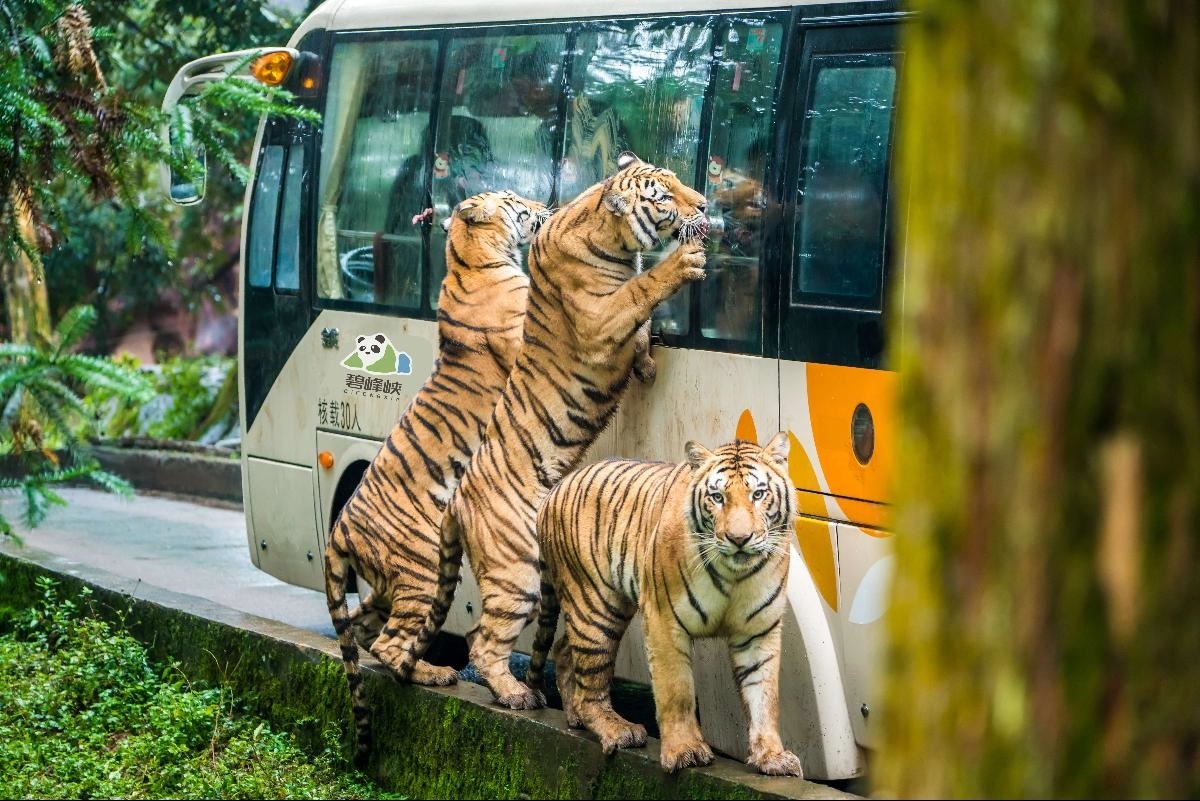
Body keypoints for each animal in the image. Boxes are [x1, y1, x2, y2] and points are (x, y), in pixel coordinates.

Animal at [323, 190, 551, 765]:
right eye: (515, 201)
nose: (544, 205)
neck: (469, 259)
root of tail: (338, 530)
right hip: (423, 568)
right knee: (389, 644)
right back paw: (436, 674)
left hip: (391, 582)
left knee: (366, 632)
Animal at [387, 152, 710, 709]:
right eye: (664, 195)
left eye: (677, 181)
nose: (707, 205)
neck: (616, 239)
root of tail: (457, 502)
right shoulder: (600, 318)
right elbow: (641, 294)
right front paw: (683, 263)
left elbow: (642, 329)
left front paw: (647, 363)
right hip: (517, 572)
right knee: (481, 641)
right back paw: (516, 694)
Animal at [526, 434, 803, 777]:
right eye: (717, 497)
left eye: (758, 494)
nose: (739, 538)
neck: (734, 575)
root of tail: (554, 490)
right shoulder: (663, 618)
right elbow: (676, 690)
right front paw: (685, 750)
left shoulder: (758, 630)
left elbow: (763, 695)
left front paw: (771, 756)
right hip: (596, 606)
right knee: (591, 681)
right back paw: (618, 730)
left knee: (565, 649)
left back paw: (575, 716)